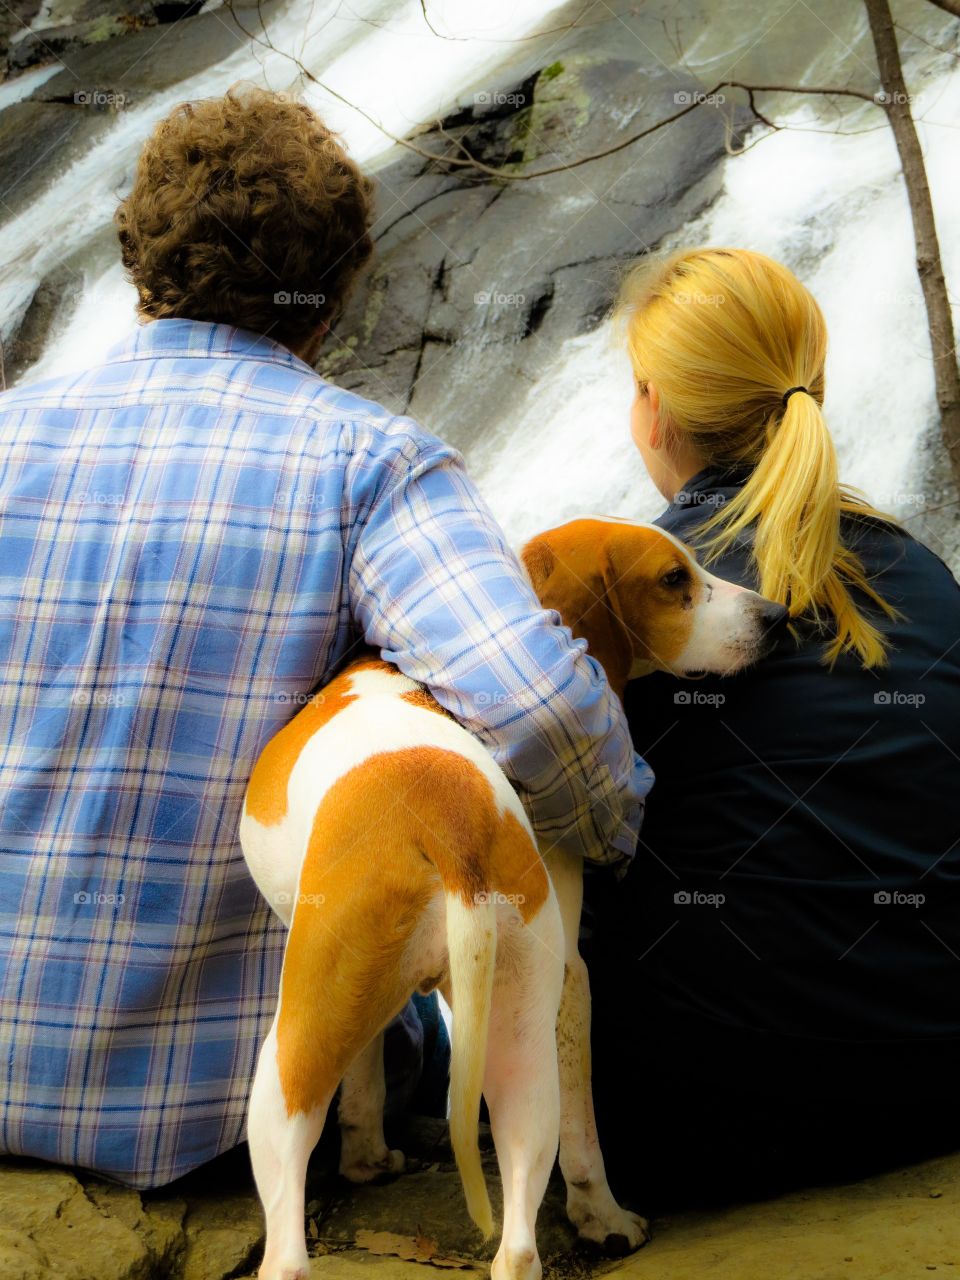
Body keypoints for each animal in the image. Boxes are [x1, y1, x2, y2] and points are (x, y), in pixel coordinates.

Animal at [239, 517, 788, 1280]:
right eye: (673, 579)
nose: (777, 616)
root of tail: (446, 819)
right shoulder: (567, 979)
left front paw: (365, 1155)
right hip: (510, 1039)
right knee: (523, 1233)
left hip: (299, 1054)